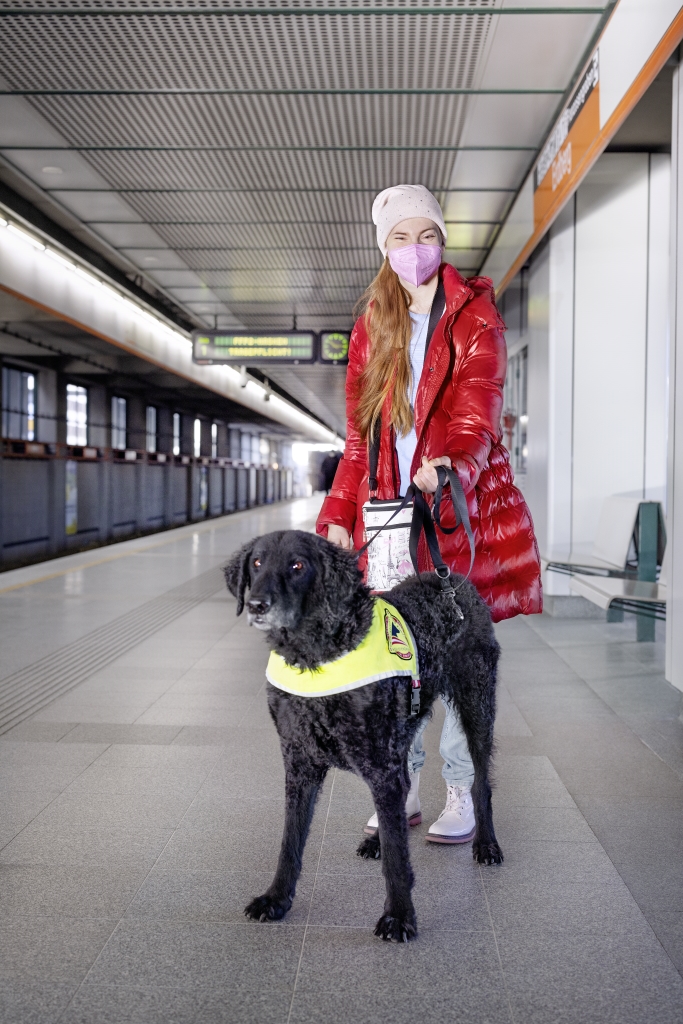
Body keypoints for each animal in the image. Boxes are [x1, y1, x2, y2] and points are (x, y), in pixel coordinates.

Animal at [224, 532, 501, 937]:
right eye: (256, 563)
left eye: (297, 565)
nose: (258, 604)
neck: (318, 656)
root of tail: (450, 582)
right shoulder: (299, 763)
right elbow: (289, 842)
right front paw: (275, 899)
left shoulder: (380, 765)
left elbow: (398, 862)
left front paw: (398, 916)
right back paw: (378, 840)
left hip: (477, 705)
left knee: (481, 781)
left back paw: (487, 845)